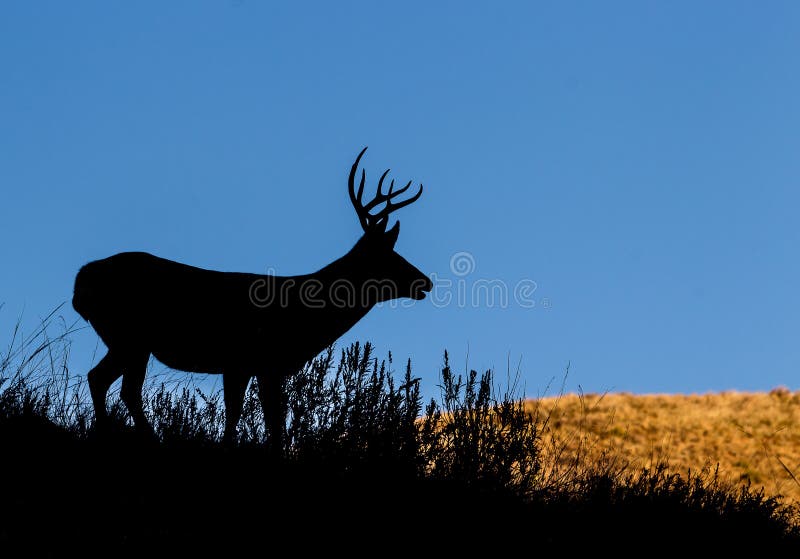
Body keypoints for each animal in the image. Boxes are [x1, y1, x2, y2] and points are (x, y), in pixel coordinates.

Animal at [72, 147, 432, 451]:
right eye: (390, 257)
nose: (424, 282)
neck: (306, 316)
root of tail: (80, 282)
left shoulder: (253, 365)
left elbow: (257, 417)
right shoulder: (250, 358)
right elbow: (257, 417)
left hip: (126, 340)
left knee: (102, 380)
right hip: (131, 336)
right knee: (119, 387)